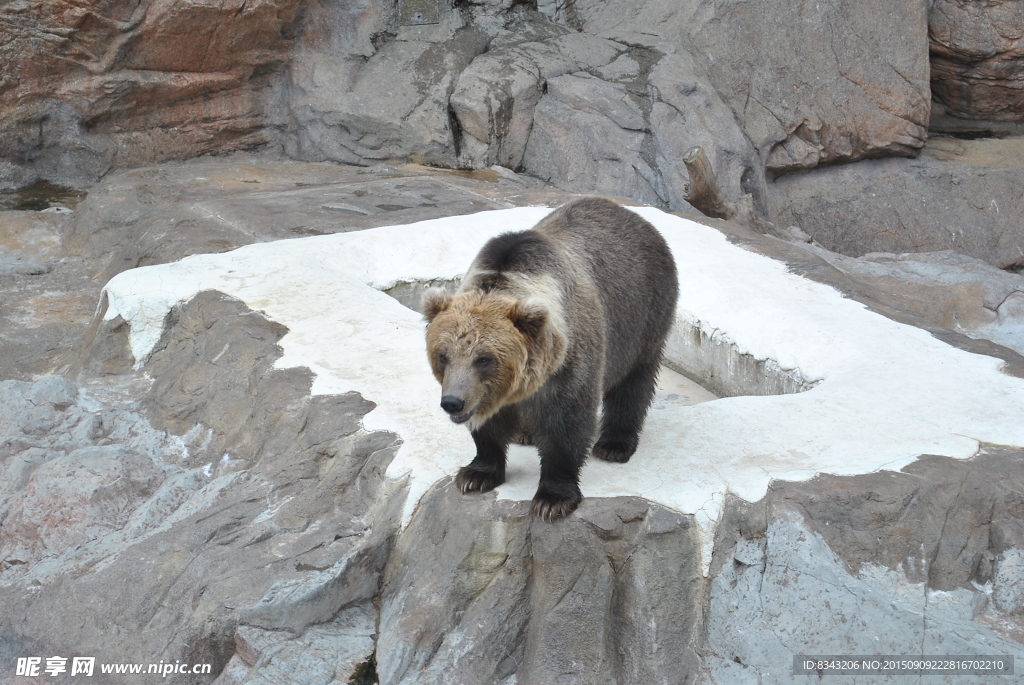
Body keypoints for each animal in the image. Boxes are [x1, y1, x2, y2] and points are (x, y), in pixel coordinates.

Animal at [423, 196, 679, 518]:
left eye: (484, 359)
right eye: (443, 356)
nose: (452, 402)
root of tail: (634, 216)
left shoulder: (569, 361)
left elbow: (566, 425)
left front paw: (552, 499)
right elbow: (488, 427)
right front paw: (476, 475)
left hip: (643, 314)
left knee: (634, 382)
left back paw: (614, 444)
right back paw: (525, 434)